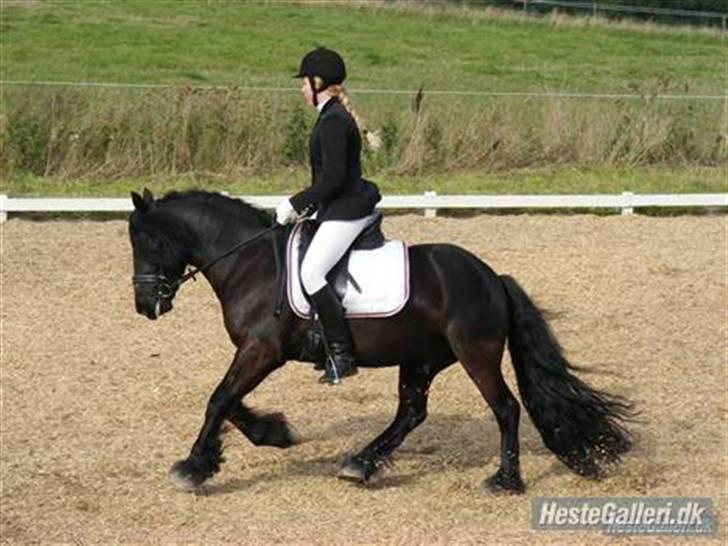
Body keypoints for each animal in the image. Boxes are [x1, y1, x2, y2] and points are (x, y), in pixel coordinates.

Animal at [128, 188, 633, 493]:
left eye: (149, 242)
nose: (144, 305)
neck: (250, 263)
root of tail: (492, 277)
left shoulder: (262, 350)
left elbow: (219, 399)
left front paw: (193, 467)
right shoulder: (256, 352)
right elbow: (229, 401)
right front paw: (273, 433)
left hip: (475, 354)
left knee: (506, 408)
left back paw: (505, 480)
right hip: (422, 358)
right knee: (411, 413)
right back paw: (361, 463)